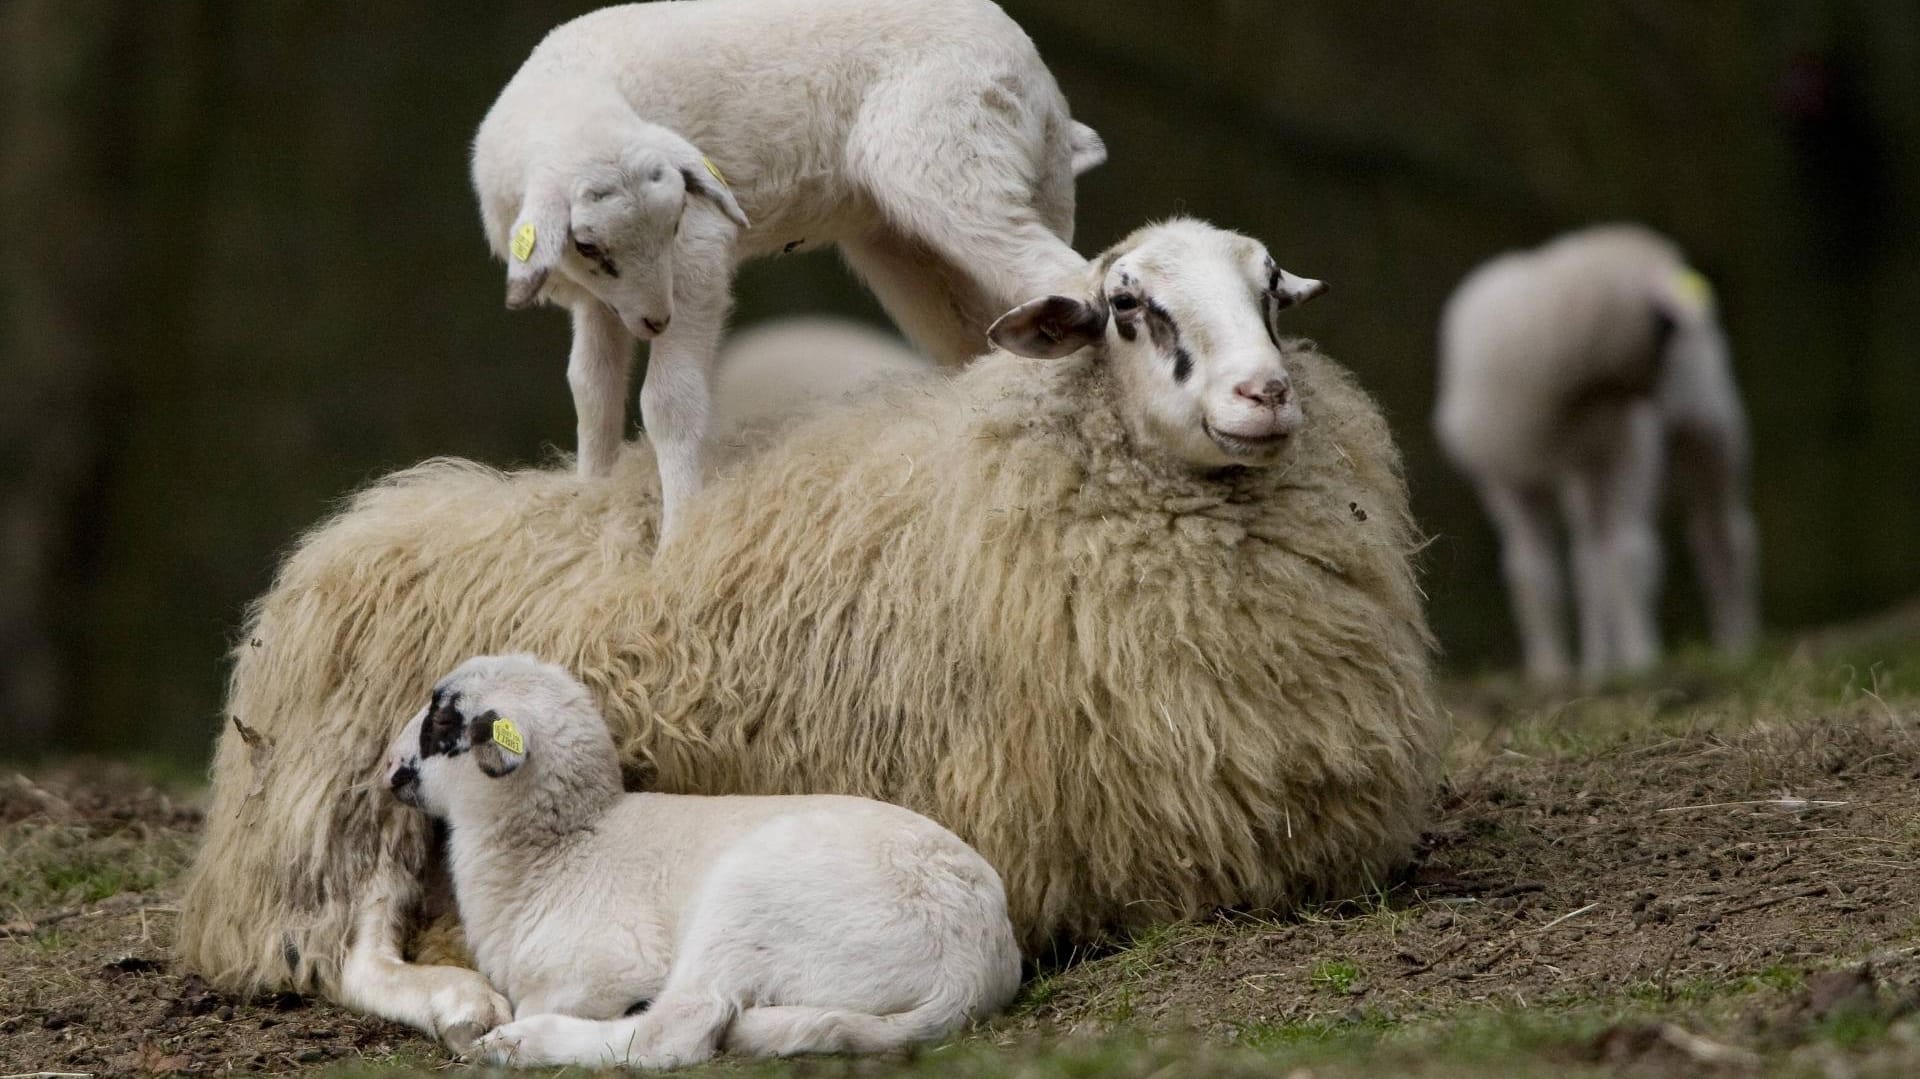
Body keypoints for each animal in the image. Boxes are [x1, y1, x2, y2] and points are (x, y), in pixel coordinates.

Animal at [382, 645, 1029, 1067]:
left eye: (442, 720)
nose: (387, 770)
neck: (566, 847)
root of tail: (970, 970)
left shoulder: (611, 960)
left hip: (747, 903)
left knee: (676, 1032)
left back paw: (517, 1045)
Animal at [472, 0, 1105, 537]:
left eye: (675, 221)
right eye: (588, 246)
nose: (655, 321)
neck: (576, 100)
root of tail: (1040, 79)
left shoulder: (698, 254)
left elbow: (670, 402)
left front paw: (678, 539)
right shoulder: (600, 300)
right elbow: (592, 390)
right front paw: (590, 501)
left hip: (947, 152)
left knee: (1064, 273)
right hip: (912, 238)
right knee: (978, 332)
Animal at [1436, 222, 1758, 683]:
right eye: (1662, 328)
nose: (1656, 395)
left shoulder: (1628, 451)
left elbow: (1629, 554)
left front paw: (1643, 658)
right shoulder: (1507, 479)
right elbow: (1532, 573)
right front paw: (1549, 670)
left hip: (1710, 431)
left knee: (1723, 536)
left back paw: (1737, 644)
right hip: (1583, 475)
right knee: (1591, 560)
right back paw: (1597, 664)